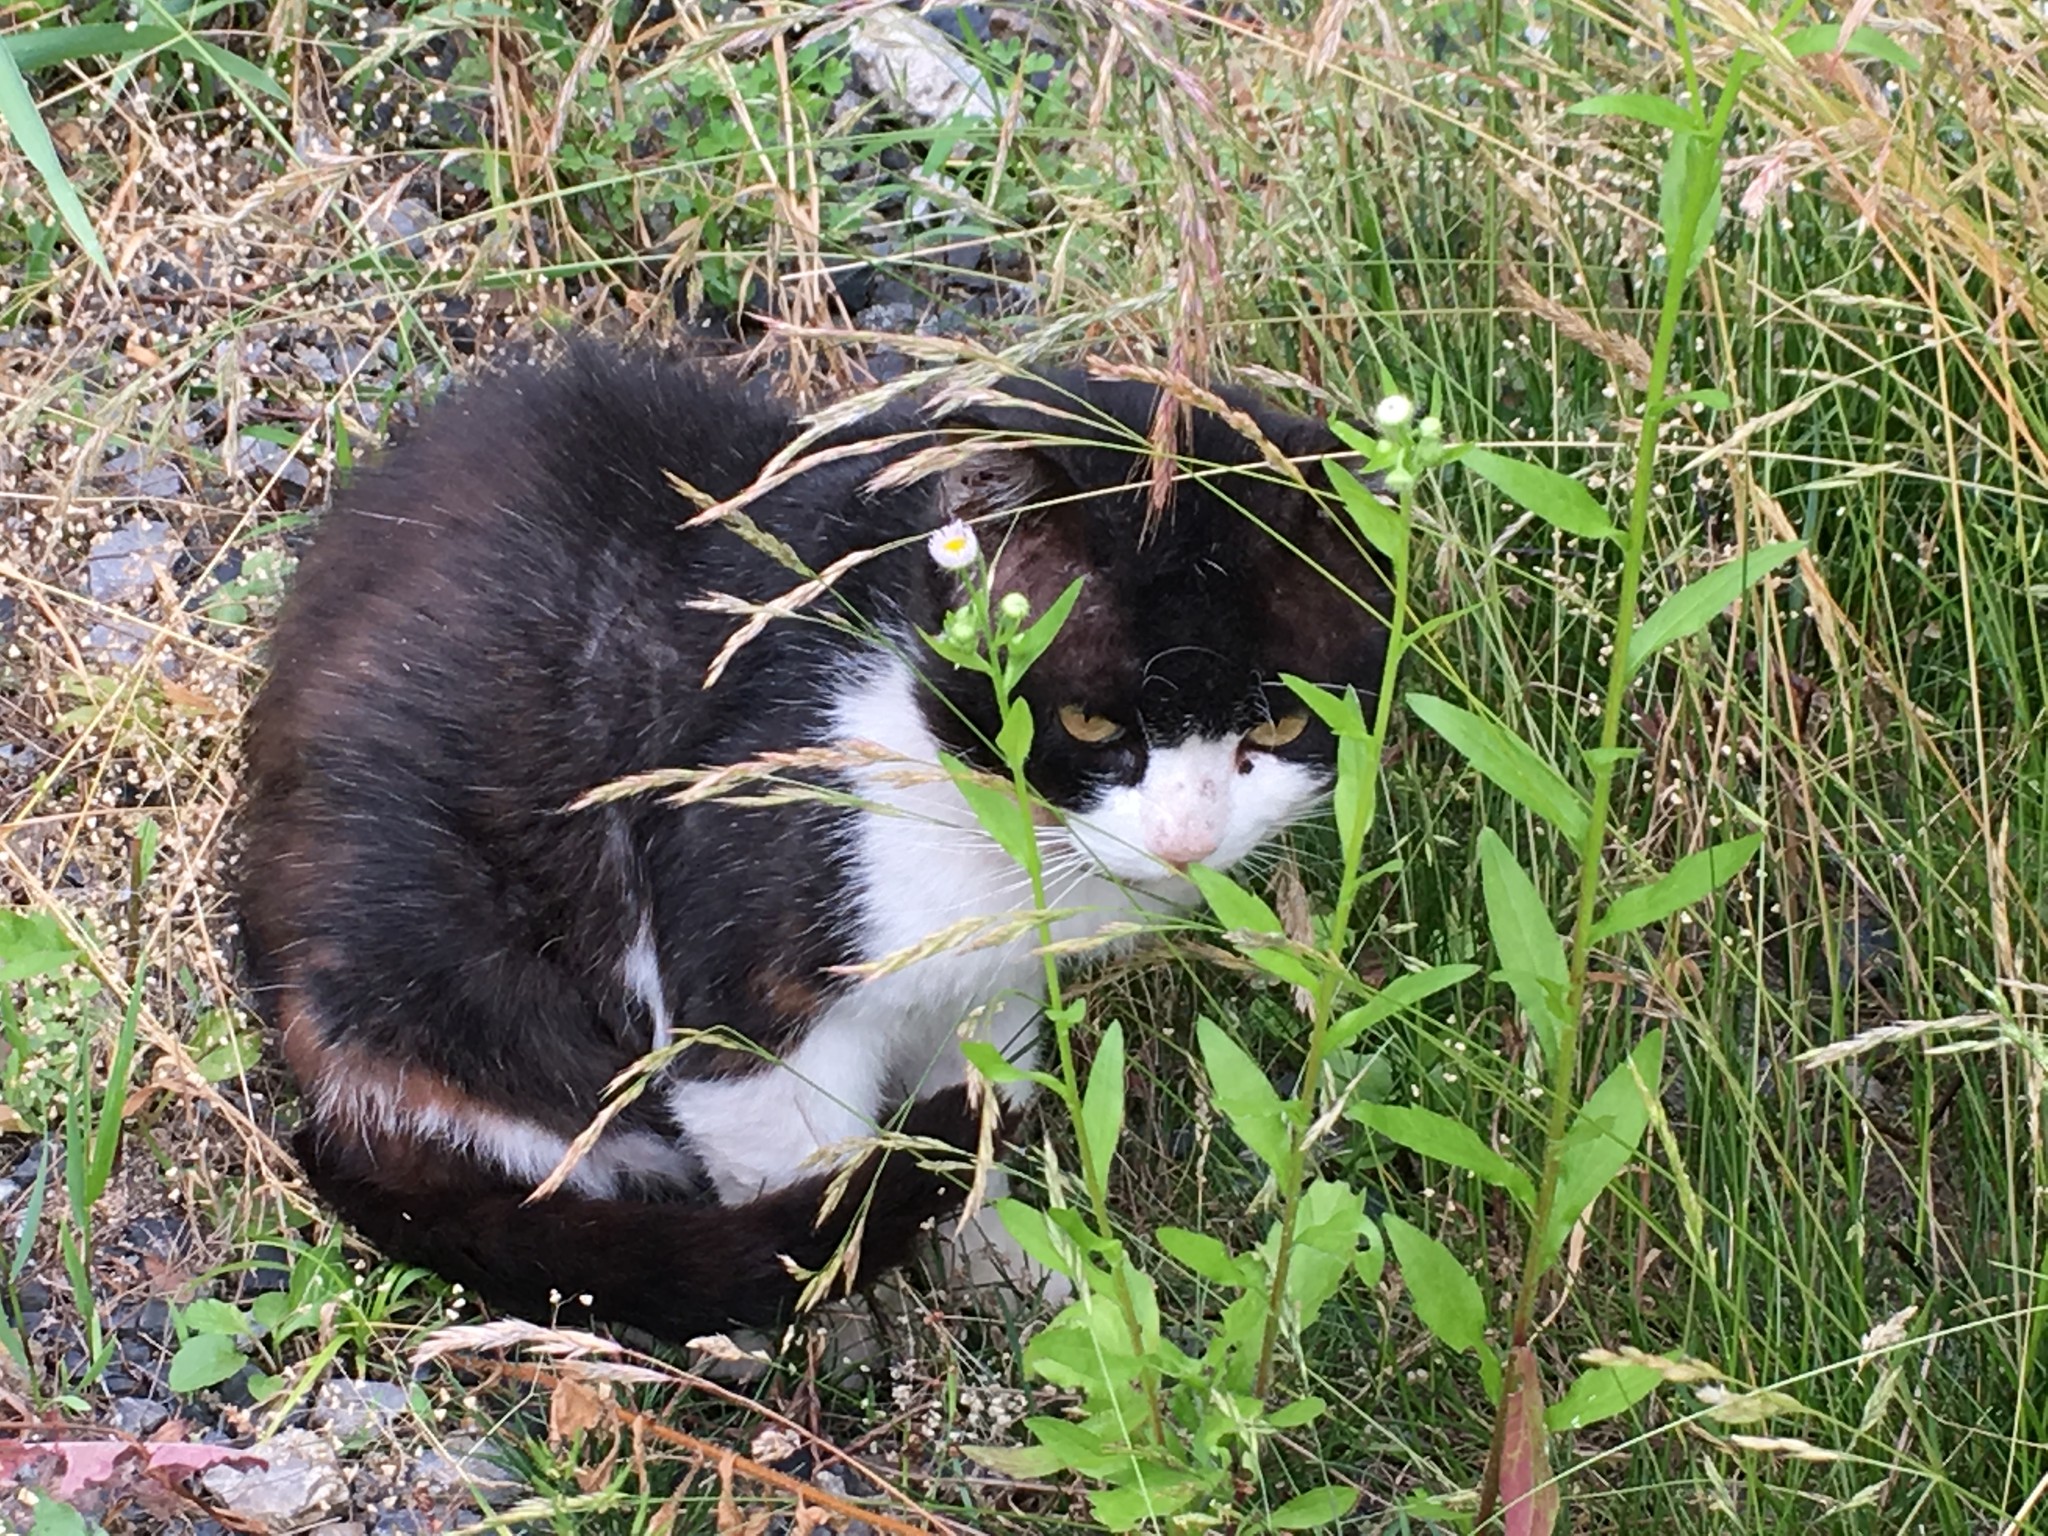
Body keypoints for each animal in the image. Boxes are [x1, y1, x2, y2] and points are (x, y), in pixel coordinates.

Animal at [239, 348, 1392, 1343]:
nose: (1187, 841)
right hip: (445, 969)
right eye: (1092, 724)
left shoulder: (993, 983)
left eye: (1279, 726)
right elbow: (806, 1161)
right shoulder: (744, 952)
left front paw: (1005, 1262)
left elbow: (981, 1103)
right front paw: (858, 1320)